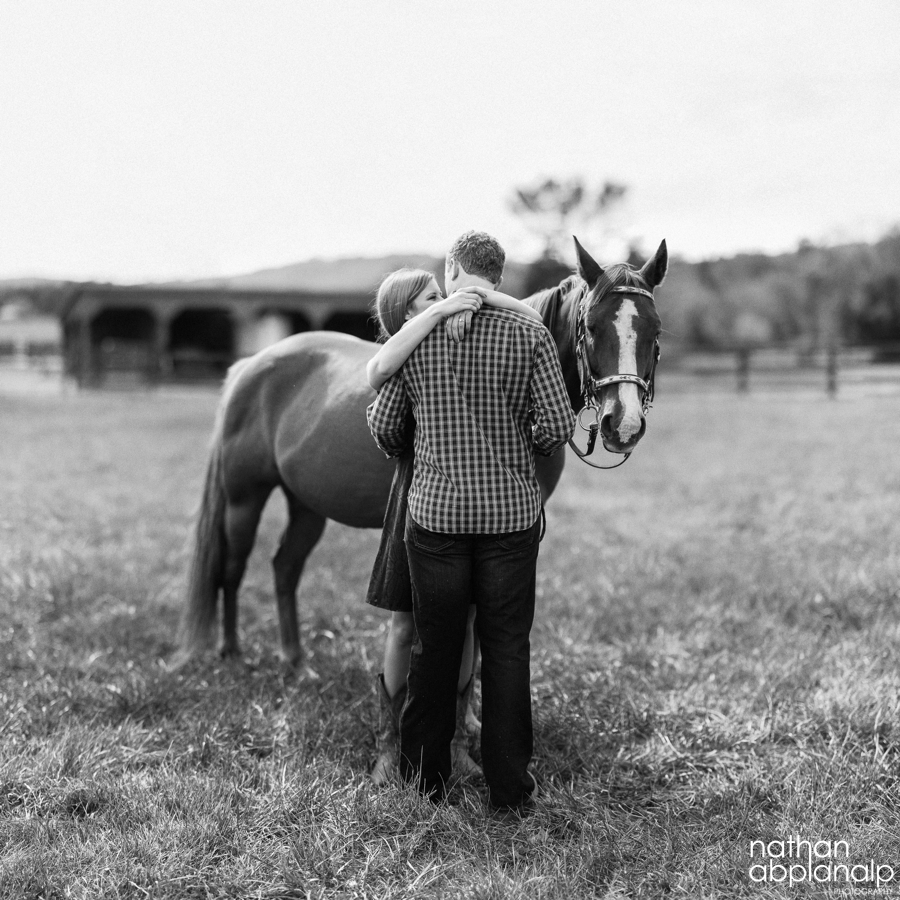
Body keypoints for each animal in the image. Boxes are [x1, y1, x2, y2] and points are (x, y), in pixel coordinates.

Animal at [178, 236, 668, 664]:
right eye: (591, 327)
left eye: (656, 329)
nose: (623, 423)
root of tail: (250, 366)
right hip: (245, 499)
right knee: (232, 569)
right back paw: (232, 653)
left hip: (306, 504)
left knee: (284, 568)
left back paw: (296, 662)